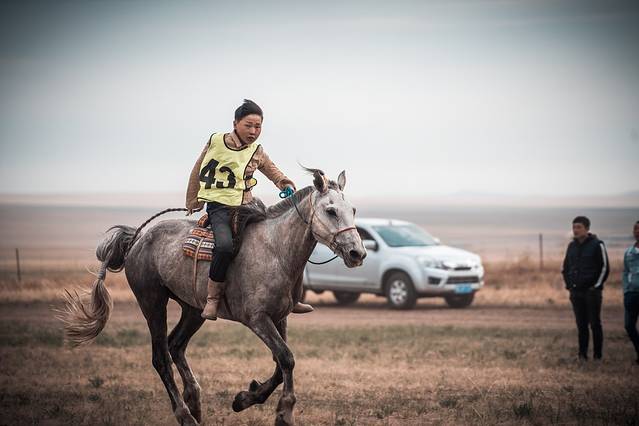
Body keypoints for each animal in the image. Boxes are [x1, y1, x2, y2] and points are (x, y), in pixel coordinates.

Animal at [57, 168, 366, 426]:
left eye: (352, 209)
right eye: (330, 210)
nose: (357, 253)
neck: (275, 250)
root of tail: (137, 237)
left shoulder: (280, 318)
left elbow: (281, 364)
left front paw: (244, 398)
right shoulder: (257, 319)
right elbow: (286, 359)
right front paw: (284, 412)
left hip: (194, 309)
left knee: (176, 345)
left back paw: (194, 400)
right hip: (152, 302)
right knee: (161, 357)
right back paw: (185, 415)